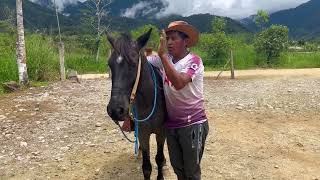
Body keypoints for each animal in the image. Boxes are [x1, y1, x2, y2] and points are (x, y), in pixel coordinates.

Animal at [107, 28, 168, 179]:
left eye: (133, 63)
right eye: (110, 65)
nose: (115, 110)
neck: (149, 101)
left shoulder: (161, 132)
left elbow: (159, 158)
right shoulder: (143, 133)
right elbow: (146, 167)